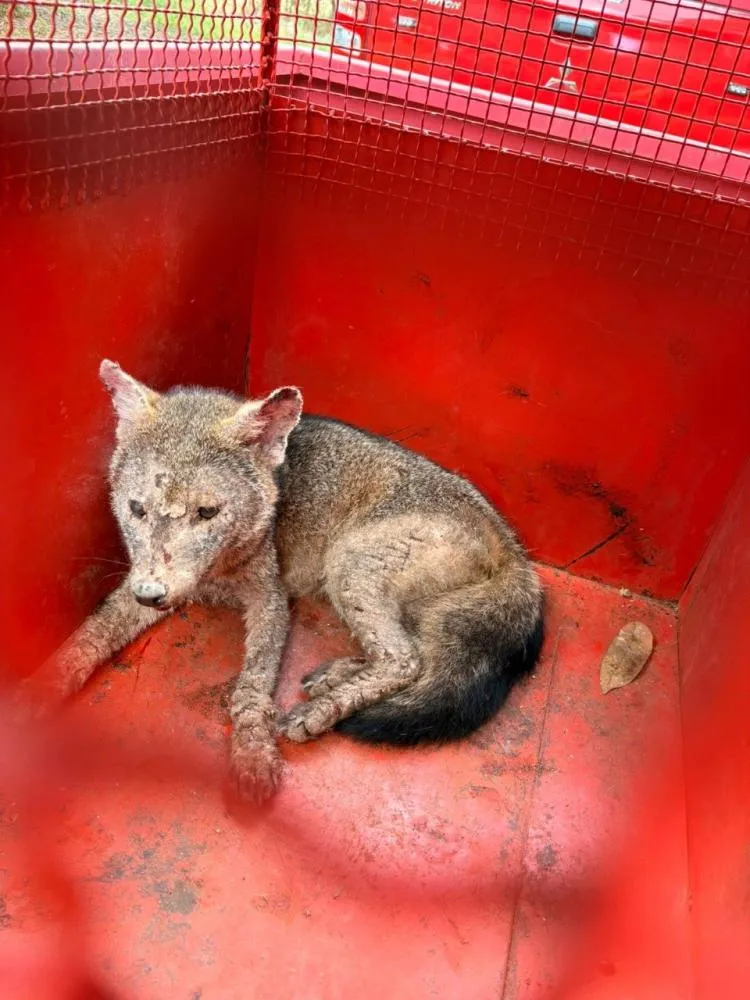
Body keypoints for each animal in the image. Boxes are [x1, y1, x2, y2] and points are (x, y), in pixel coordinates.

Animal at [22, 360, 544, 801]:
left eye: (206, 512)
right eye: (136, 509)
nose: (152, 596)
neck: (218, 575)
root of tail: (516, 553)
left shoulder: (270, 599)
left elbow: (252, 686)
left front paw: (253, 751)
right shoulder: (143, 581)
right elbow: (89, 636)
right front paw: (36, 695)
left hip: (347, 561)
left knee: (405, 660)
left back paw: (321, 712)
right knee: (410, 654)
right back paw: (337, 676)